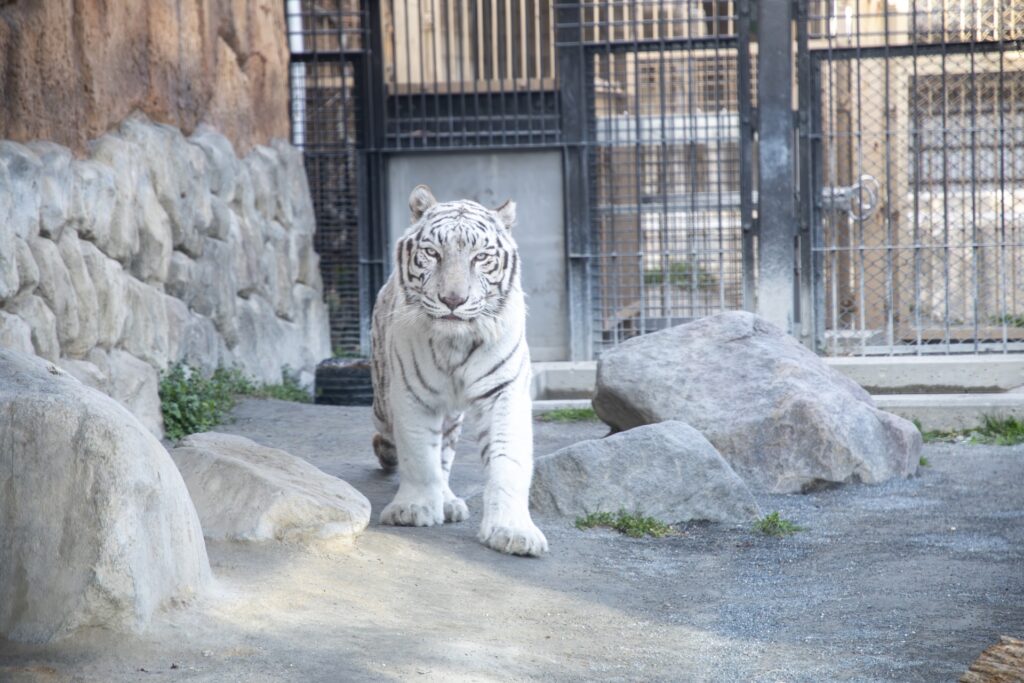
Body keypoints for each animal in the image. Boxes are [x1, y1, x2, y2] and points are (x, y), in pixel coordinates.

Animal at [366, 185, 548, 557]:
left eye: (480, 257)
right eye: (432, 253)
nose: (453, 300)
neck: (455, 344)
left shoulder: (504, 391)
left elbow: (508, 460)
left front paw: (514, 532)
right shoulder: (411, 394)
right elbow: (419, 454)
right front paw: (415, 508)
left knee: (446, 454)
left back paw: (448, 501)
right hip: (382, 401)